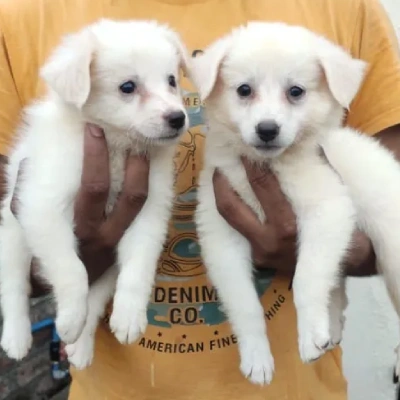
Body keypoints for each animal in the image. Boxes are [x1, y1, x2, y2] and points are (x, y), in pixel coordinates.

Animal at [0, 19, 189, 368]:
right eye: (127, 87)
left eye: (171, 80)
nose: (178, 118)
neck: (116, 147)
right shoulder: (43, 207)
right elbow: (71, 269)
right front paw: (70, 318)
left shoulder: (149, 211)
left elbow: (138, 267)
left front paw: (129, 316)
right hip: (12, 238)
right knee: (14, 287)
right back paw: (17, 338)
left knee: (97, 299)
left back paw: (81, 346)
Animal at [191, 21, 366, 384]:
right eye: (244, 90)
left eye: (296, 91)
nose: (267, 129)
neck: (268, 166)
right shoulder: (221, 235)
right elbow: (245, 303)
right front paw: (256, 356)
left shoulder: (328, 209)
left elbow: (307, 279)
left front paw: (311, 334)